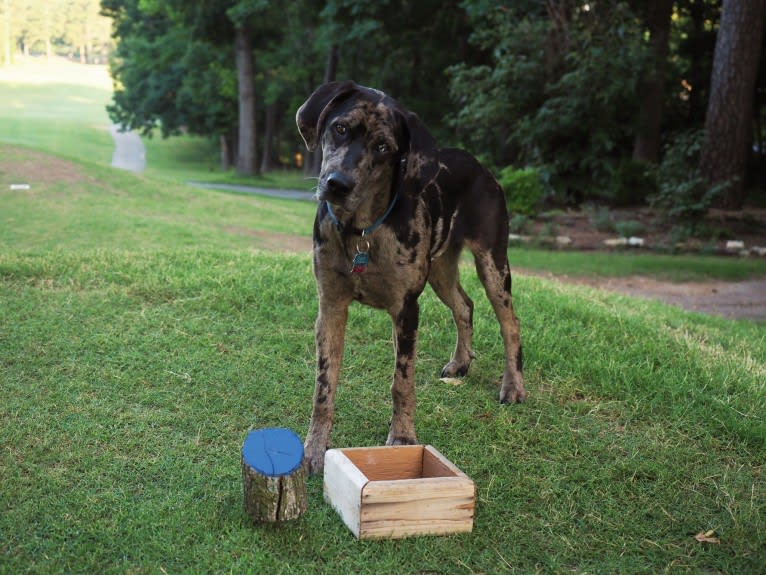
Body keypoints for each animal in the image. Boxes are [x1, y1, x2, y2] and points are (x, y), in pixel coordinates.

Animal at [296, 82, 524, 476]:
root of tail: (482, 167)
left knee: (509, 323)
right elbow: (324, 386)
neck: (362, 231)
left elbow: (401, 382)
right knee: (464, 305)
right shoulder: (330, 306)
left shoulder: (406, 310)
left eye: (383, 147)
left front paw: (402, 437)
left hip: (493, 262)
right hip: (441, 268)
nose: (337, 184)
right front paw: (314, 449)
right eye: (340, 128)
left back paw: (513, 386)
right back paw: (461, 362)